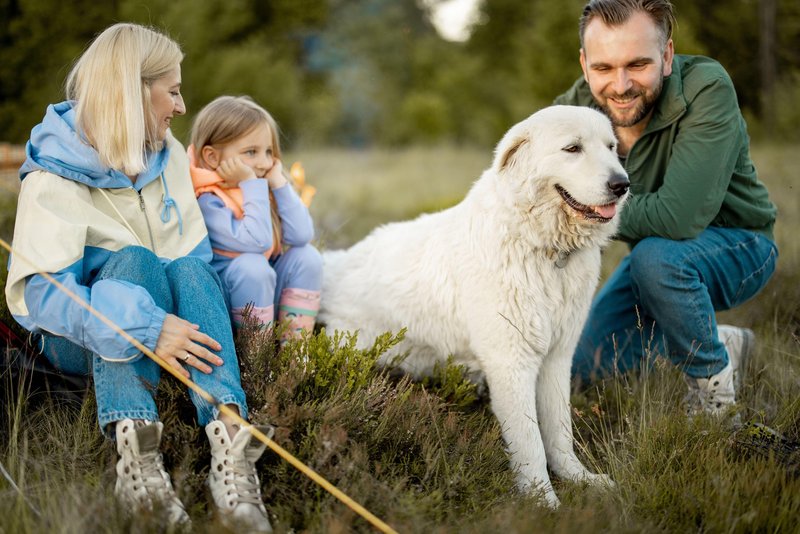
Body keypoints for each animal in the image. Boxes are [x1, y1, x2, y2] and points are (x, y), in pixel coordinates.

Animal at [318, 105, 624, 510]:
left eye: (610, 147)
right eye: (572, 148)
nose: (622, 184)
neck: (544, 250)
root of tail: (335, 263)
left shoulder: (557, 358)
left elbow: (559, 432)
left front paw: (580, 479)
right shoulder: (511, 363)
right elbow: (530, 442)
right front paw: (544, 503)